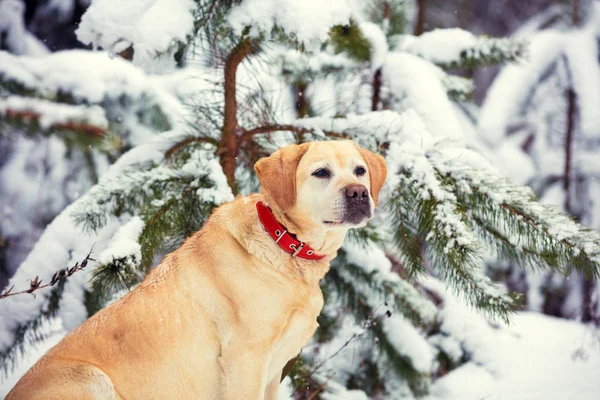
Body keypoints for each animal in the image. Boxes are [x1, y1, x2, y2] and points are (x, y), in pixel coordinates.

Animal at [5, 139, 384, 398]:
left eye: (360, 171)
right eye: (321, 173)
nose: (358, 193)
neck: (283, 243)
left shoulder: (273, 370)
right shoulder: (245, 358)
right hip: (91, 380)